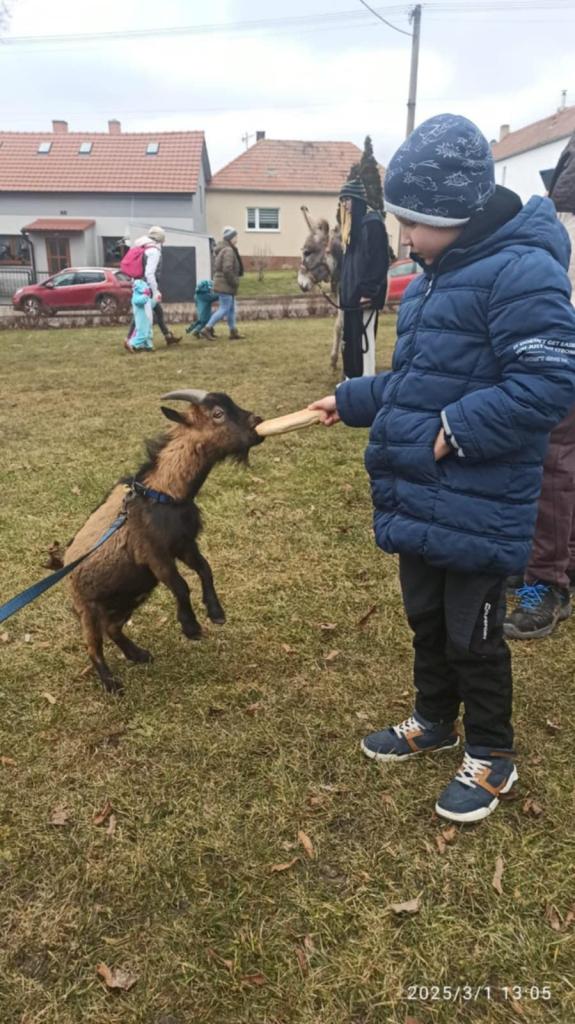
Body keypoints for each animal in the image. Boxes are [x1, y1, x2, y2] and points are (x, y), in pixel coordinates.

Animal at [64, 389, 263, 693]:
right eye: (217, 413)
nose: (258, 422)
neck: (162, 493)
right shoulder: (153, 553)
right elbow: (181, 586)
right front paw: (191, 628)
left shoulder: (184, 544)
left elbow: (205, 569)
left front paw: (216, 613)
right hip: (87, 607)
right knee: (93, 646)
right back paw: (112, 684)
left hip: (131, 595)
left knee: (113, 628)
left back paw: (138, 654)